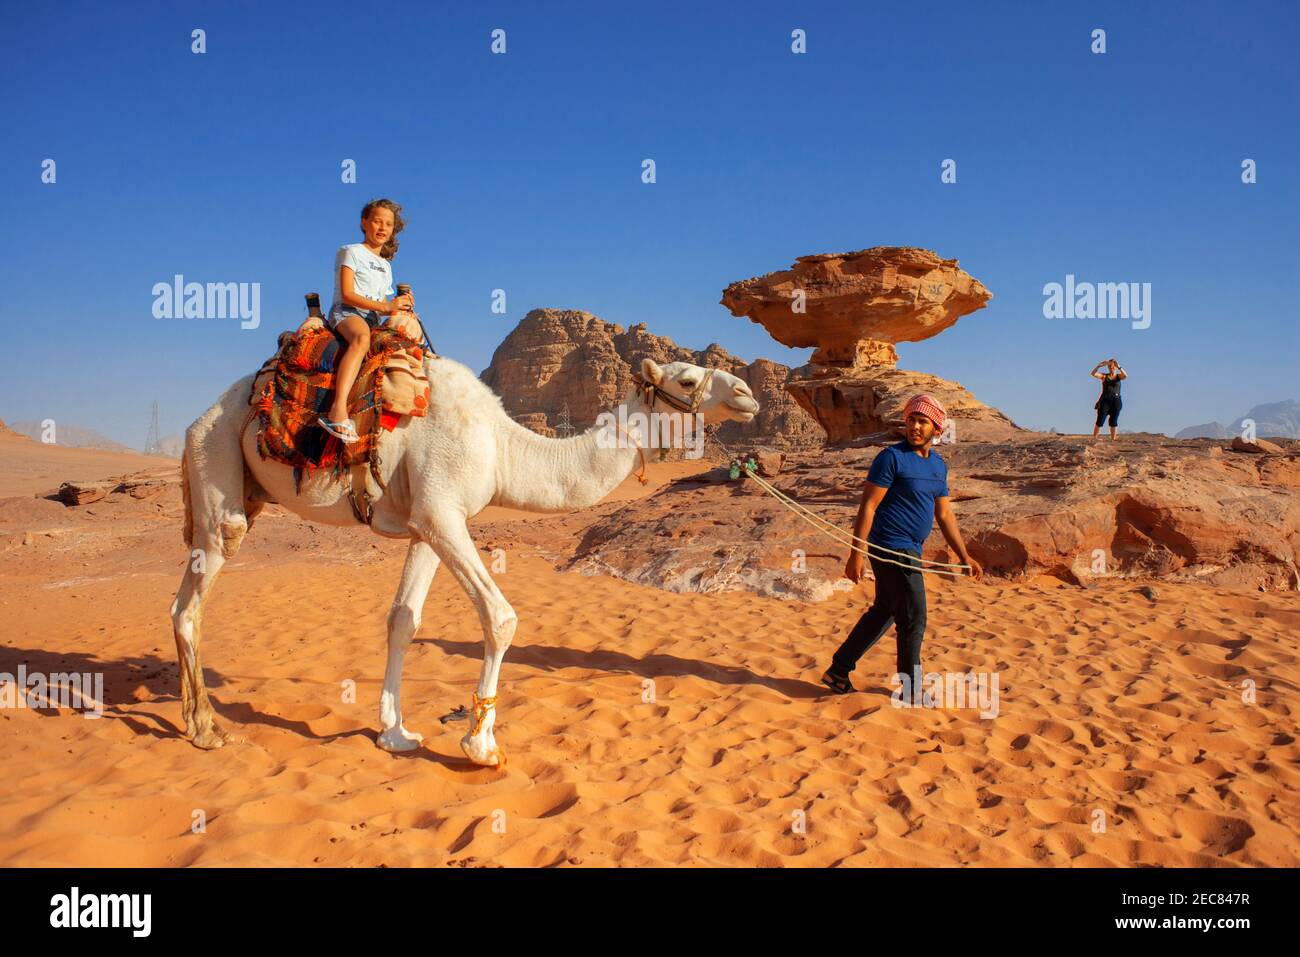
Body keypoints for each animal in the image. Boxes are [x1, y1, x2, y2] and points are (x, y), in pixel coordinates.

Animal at [172, 356, 759, 764]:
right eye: (687, 380)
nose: (748, 394)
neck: (503, 450)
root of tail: (196, 420)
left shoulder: (427, 522)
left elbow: (403, 621)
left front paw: (395, 734)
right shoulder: (442, 512)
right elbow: (500, 618)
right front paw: (480, 744)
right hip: (215, 463)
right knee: (194, 597)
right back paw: (205, 729)